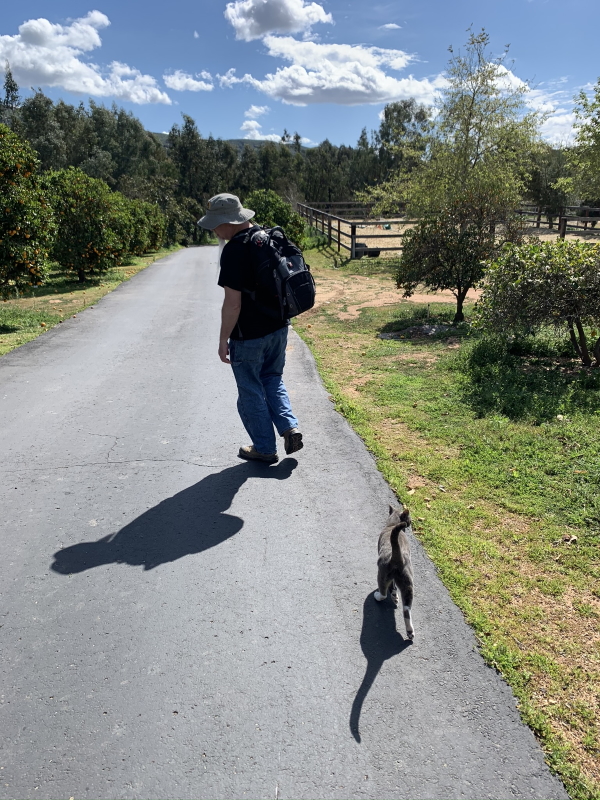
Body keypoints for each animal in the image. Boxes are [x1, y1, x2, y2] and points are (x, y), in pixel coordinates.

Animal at [374, 505, 414, 640]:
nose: (411, 522)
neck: (392, 525)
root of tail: (397, 557)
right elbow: (394, 586)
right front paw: (395, 596)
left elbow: (391, 586)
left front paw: (393, 595)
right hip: (408, 582)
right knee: (406, 609)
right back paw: (410, 632)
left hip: (382, 573)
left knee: (383, 593)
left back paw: (377, 596)